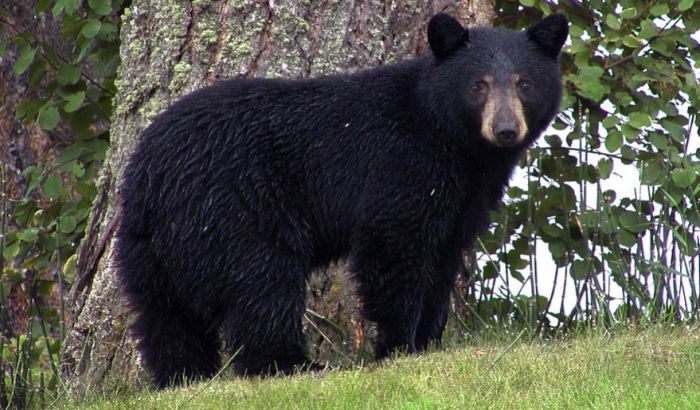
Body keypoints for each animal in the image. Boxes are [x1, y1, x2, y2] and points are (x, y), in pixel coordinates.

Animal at [115, 12, 568, 388]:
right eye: (479, 85)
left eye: (524, 83)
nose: (506, 130)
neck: (455, 143)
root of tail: (151, 173)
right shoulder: (401, 167)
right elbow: (394, 249)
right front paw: (398, 347)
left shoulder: (464, 198)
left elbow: (443, 258)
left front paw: (427, 342)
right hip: (234, 210)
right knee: (261, 285)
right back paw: (293, 365)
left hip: (149, 245)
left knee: (164, 315)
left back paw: (183, 376)